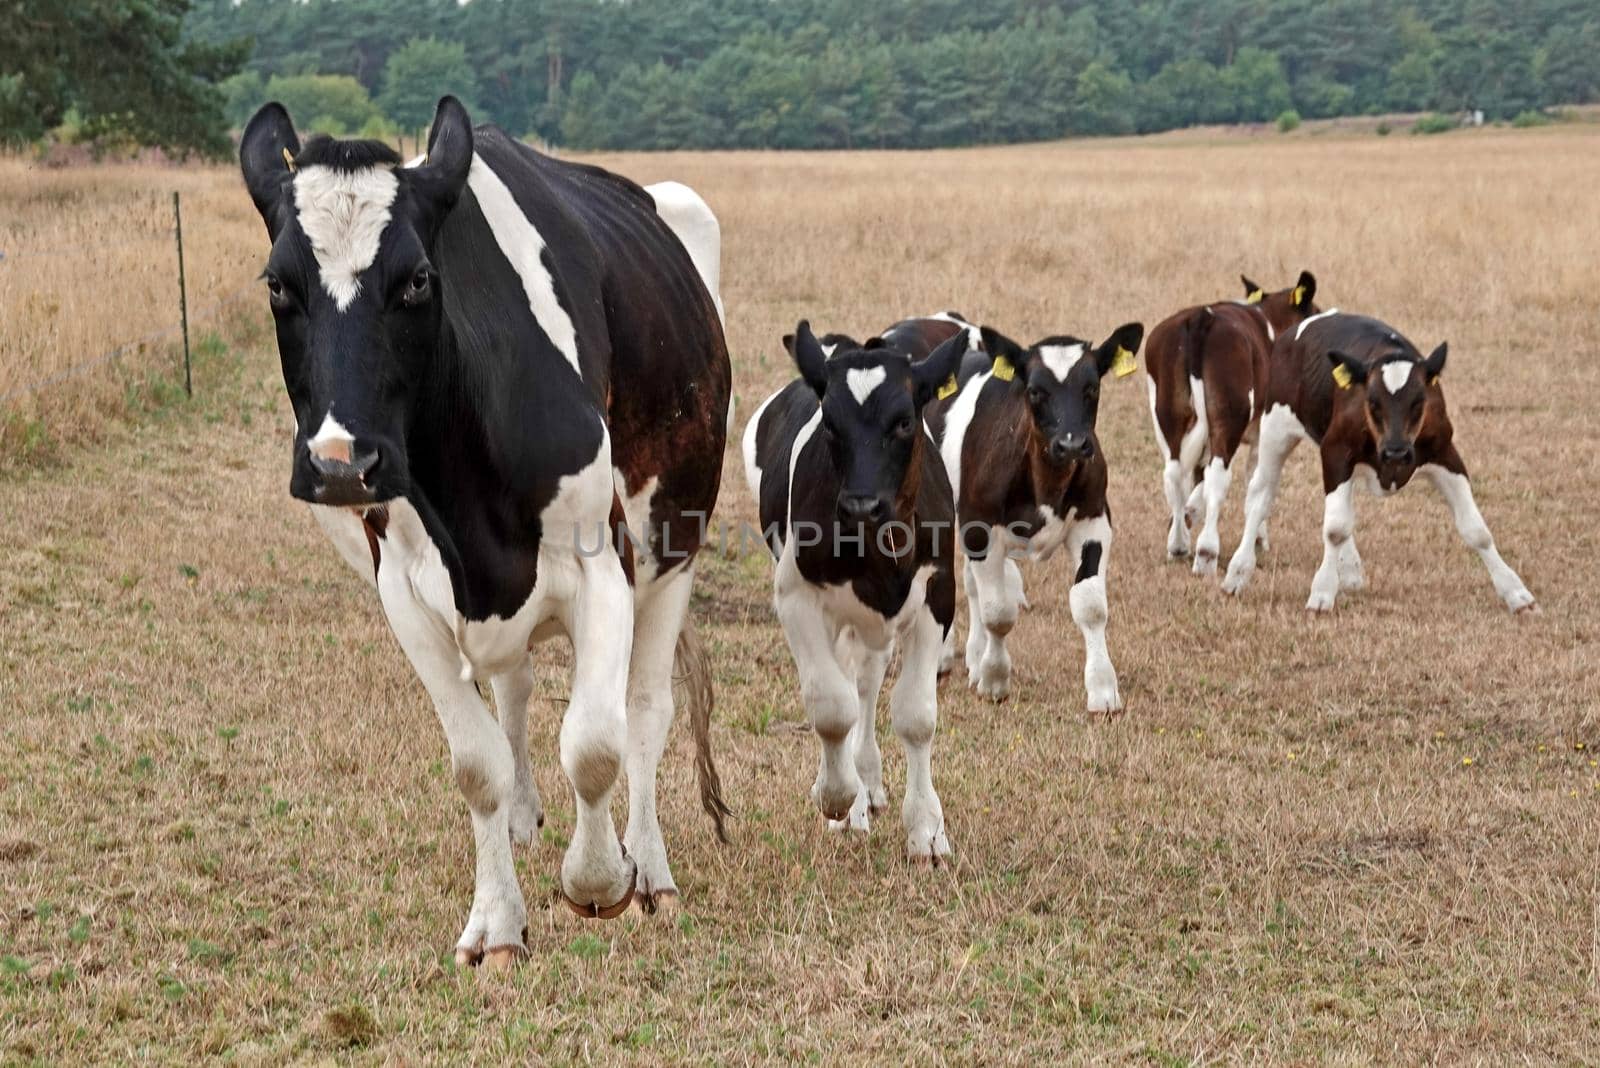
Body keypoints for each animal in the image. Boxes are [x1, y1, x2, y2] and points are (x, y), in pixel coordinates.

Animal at [236, 97, 732, 965]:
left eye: (416, 280)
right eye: (276, 285)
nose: (340, 463)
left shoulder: (605, 565)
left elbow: (595, 743)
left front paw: (602, 880)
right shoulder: (403, 593)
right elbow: (476, 764)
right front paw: (498, 922)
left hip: (674, 541)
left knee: (644, 708)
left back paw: (651, 868)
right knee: (515, 691)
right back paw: (529, 818)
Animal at [739, 322, 960, 856]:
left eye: (904, 422)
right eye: (831, 425)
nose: (861, 504)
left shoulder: (938, 595)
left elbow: (915, 715)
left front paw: (927, 828)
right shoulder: (796, 597)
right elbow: (831, 707)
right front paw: (838, 796)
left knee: (867, 681)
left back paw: (870, 783)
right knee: (845, 685)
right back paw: (854, 796)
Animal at [921, 321, 1145, 713]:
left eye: (1092, 387)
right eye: (1035, 391)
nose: (1071, 445)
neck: (1046, 484)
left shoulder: (1094, 520)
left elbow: (1090, 606)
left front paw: (1102, 689)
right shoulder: (980, 529)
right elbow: (999, 612)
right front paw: (995, 679)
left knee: (971, 585)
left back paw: (974, 656)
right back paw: (945, 659)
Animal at [1145, 273, 1318, 575]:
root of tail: (1202, 317)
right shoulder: (1264, 433)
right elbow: (1255, 481)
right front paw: (1259, 539)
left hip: (1168, 415)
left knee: (1174, 474)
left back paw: (1178, 544)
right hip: (1229, 418)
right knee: (1218, 477)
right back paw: (1206, 553)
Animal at [1222, 308, 1536, 613]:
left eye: (1419, 401)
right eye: (1372, 401)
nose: (1396, 452)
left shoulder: (1446, 455)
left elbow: (1476, 530)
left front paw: (1516, 593)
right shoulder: (1335, 454)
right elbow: (1335, 529)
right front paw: (1321, 593)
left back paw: (1349, 570)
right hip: (1276, 430)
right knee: (1260, 498)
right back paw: (1238, 571)